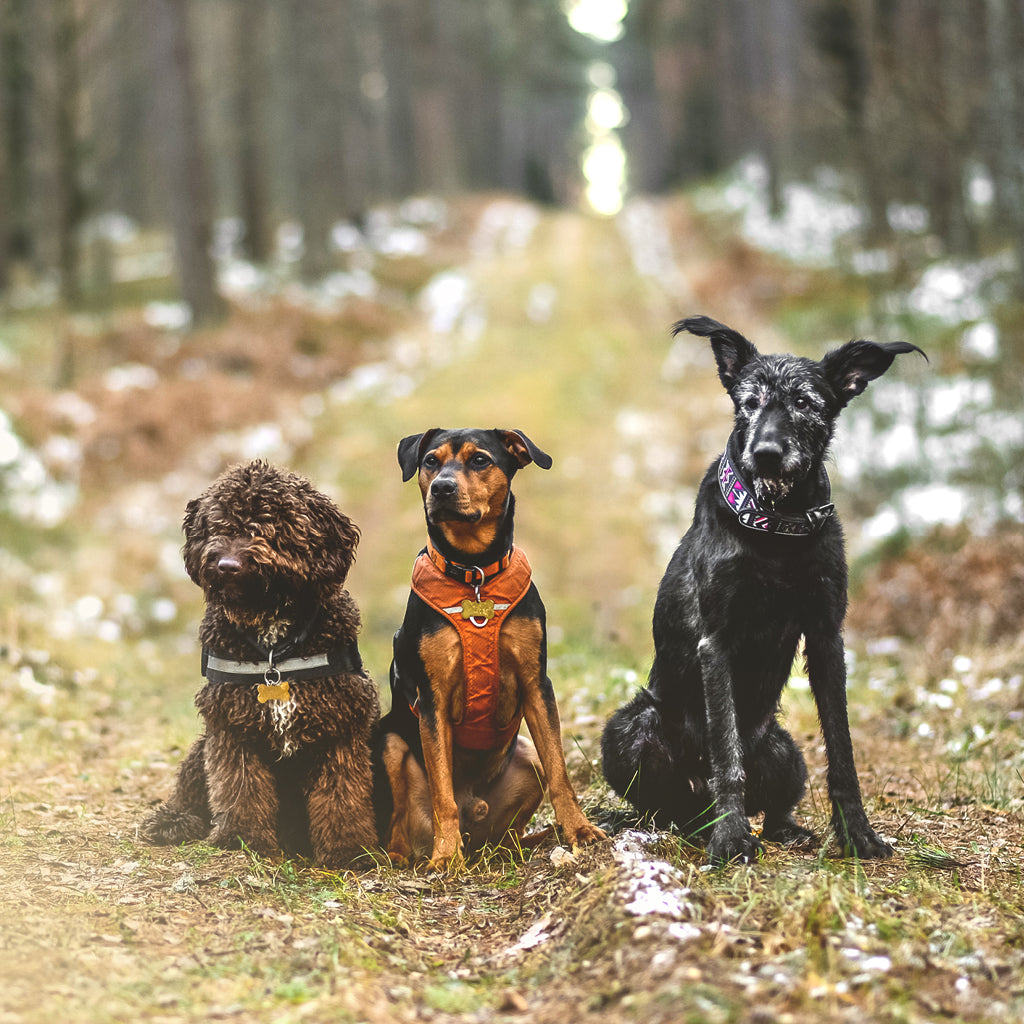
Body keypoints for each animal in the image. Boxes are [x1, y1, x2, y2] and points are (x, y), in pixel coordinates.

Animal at [143, 460, 380, 868]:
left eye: (269, 525)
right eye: (218, 525)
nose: (227, 565)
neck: (273, 644)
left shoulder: (341, 722)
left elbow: (342, 796)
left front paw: (348, 851)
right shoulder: (230, 724)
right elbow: (241, 790)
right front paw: (242, 841)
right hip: (202, 747)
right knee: (190, 788)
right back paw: (171, 821)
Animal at [380, 428, 606, 868]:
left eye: (480, 460)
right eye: (430, 461)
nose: (442, 487)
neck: (474, 572)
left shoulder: (536, 683)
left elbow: (560, 772)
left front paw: (580, 830)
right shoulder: (431, 698)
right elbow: (442, 791)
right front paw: (446, 857)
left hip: (525, 757)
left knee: (511, 831)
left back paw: (528, 842)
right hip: (390, 743)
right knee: (404, 821)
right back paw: (409, 854)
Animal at [598, 313, 929, 864]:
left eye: (806, 403)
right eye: (748, 401)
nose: (767, 453)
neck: (777, 528)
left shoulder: (826, 636)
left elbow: (842, 750)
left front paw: (857, 833)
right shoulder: (716, 643)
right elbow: (726, 754)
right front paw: (732, 838)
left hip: (783, 748)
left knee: (773, 806)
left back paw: (785, 828)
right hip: (631, 728)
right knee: (667, 805)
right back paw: (674, 826)